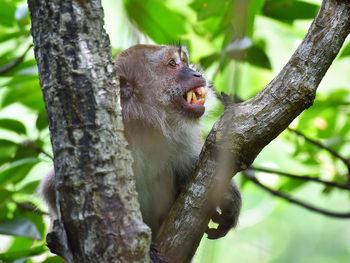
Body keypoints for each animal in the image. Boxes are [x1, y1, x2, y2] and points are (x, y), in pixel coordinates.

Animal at [38, 44, 241, 244]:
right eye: (172, 63)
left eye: (184, 61)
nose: (196, 74)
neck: (146, 126)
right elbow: (52, 188)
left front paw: (229, 197)